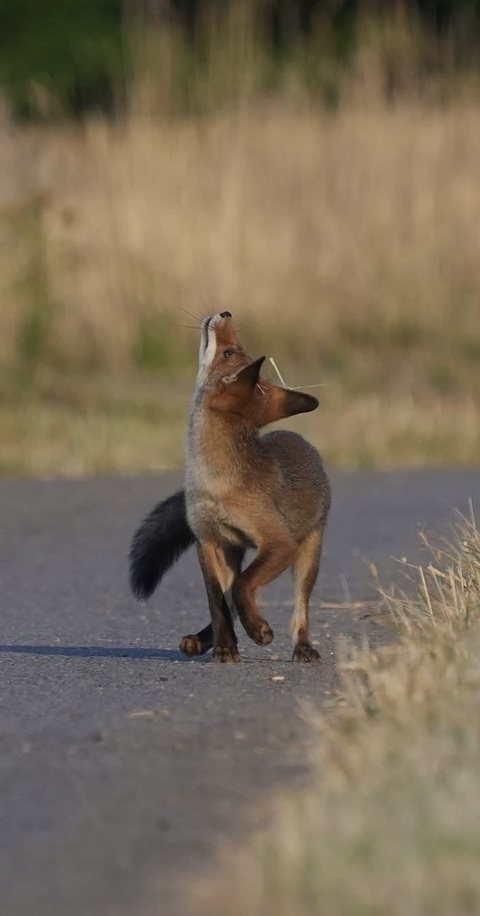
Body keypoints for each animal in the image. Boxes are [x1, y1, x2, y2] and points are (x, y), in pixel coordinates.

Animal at [129, 311, 331, 663]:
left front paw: (258, 630)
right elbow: (218, 601)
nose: (225, 314)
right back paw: (205, 639)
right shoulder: (209, 541)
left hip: (308, 554)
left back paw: (303, 646)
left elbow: (241, 588)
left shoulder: (279, 542)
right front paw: (225, 645)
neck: (214, 485)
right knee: (229, 599)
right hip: (235, 552)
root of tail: (300, 439)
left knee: (298, 609)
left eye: (230, 352)